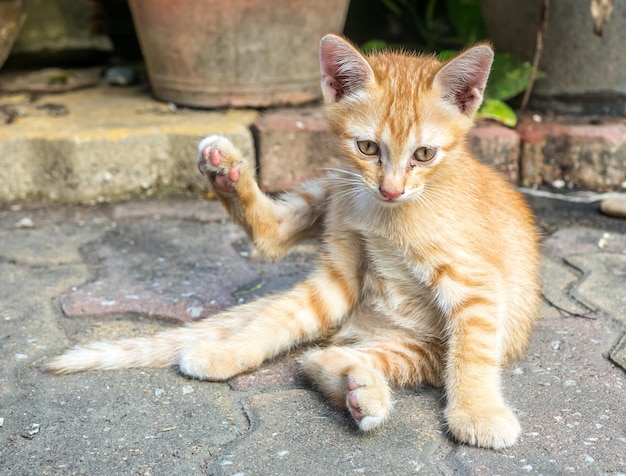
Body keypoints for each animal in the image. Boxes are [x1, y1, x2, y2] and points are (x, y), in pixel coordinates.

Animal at [46, 34, 540, 450]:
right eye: (367, 148)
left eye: (424, 154)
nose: (391, 189)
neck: (383, 216)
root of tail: (361, 324)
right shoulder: (339, 273)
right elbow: (276, 321)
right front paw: (228, 351)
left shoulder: (476, 285)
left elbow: (473, 353)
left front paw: (477, 412)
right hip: (327, 191)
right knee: (276, 251)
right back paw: (225, 173)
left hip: (423, 350)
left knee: (330, 356)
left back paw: (360, 388)